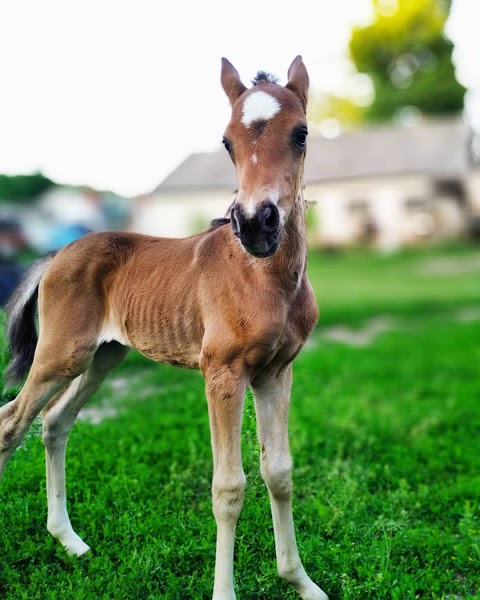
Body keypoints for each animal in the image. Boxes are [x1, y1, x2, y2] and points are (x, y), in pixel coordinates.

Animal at [0, 57, 328, 600]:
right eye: (226, 142)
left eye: (301, 133)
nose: (255, 224)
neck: (264, 277)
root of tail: (56, 255)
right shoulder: (223, 373)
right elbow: (228, 486)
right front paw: (225, 593)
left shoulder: (276, 372)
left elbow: (279, 472)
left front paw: (300, 582)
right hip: (61, 354)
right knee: (12, 422)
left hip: (103, 356)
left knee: (55, 422)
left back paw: (70, 540)